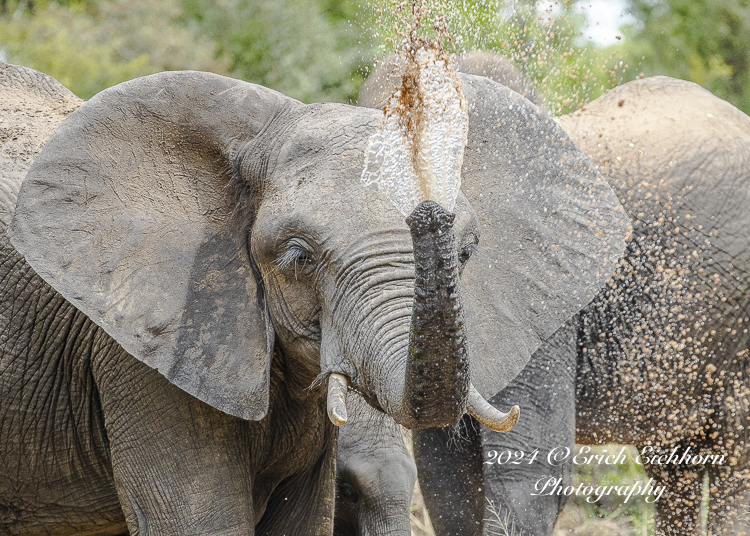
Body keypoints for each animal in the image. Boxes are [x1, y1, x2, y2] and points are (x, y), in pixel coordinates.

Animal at [408, 75, 750, 536]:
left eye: (463, 254)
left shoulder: (546, 296)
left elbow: (528, 474)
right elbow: (444, 475)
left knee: (732, 461)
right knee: (672, 466)